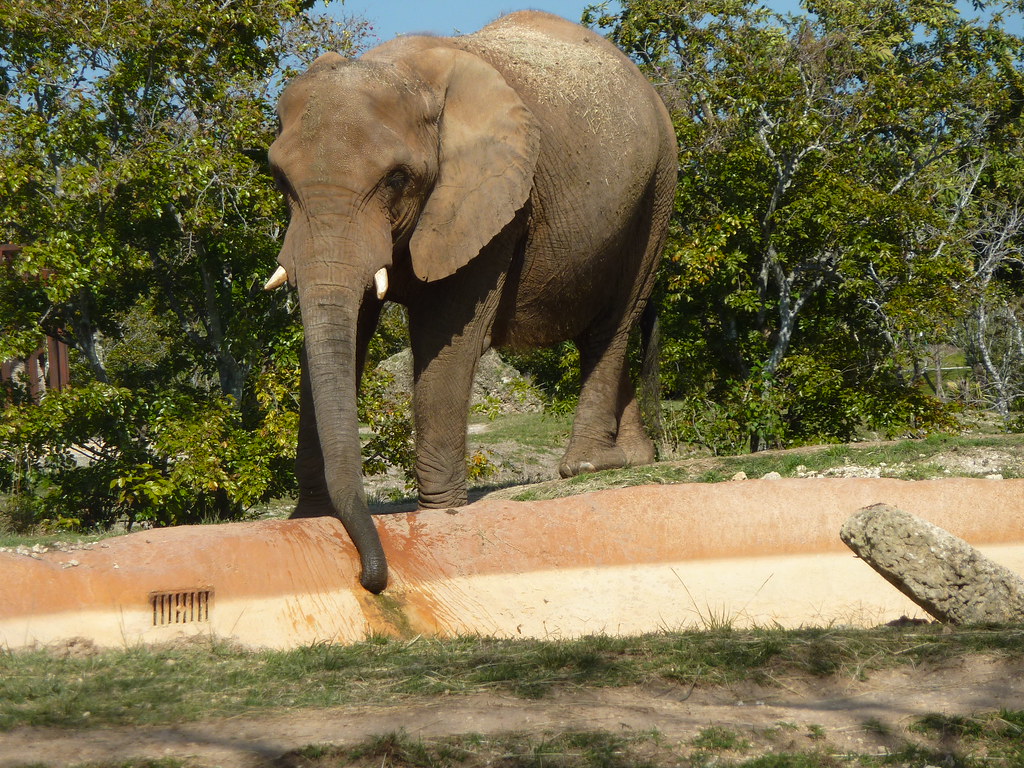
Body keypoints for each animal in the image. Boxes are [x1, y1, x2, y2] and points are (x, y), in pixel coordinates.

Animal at [265, 10, 677, 593]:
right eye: (279, 179)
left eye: (396, 179)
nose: (371, 578)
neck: (399, 70)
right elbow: (346, 325)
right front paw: (308, 519)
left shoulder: (494, 199)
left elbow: (444, 329)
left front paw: (441, 512)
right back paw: (635, 461)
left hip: (660, 187)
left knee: (615, 322)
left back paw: (588, 468)